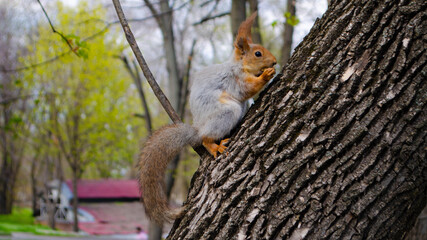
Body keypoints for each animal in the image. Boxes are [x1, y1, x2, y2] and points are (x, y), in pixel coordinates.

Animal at [137, 12, 278, 224]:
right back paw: (214, 146)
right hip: (226, 113)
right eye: (258, 54)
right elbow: (246, 89)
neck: (239, 66)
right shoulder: (235, 80)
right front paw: (265, 76)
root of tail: (198, 128)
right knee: (205, 138)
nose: (275, 61)